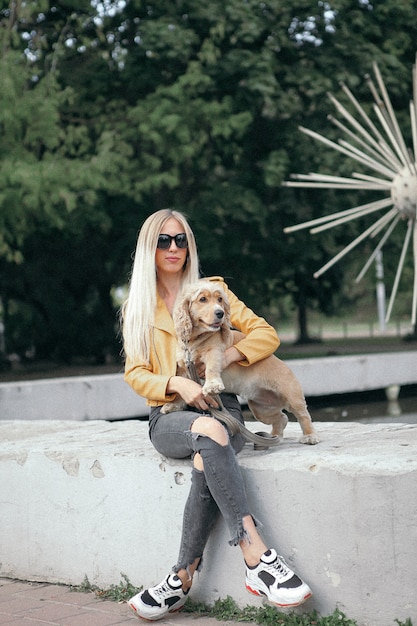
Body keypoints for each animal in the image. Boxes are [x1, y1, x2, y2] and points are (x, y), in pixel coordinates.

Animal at [162, 278, 318, 444]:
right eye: (202, 299)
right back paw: (275, 435)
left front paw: (212, 386)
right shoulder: (183, 365)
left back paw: (310, 436)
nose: (220, 313)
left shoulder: (214, 352)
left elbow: (211, 368)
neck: (194, 340)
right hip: (260, 408)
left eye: (220, 299)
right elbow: (181, 386)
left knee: (303, 415)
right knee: (281, 417)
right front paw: (173, 405)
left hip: (292, 395)